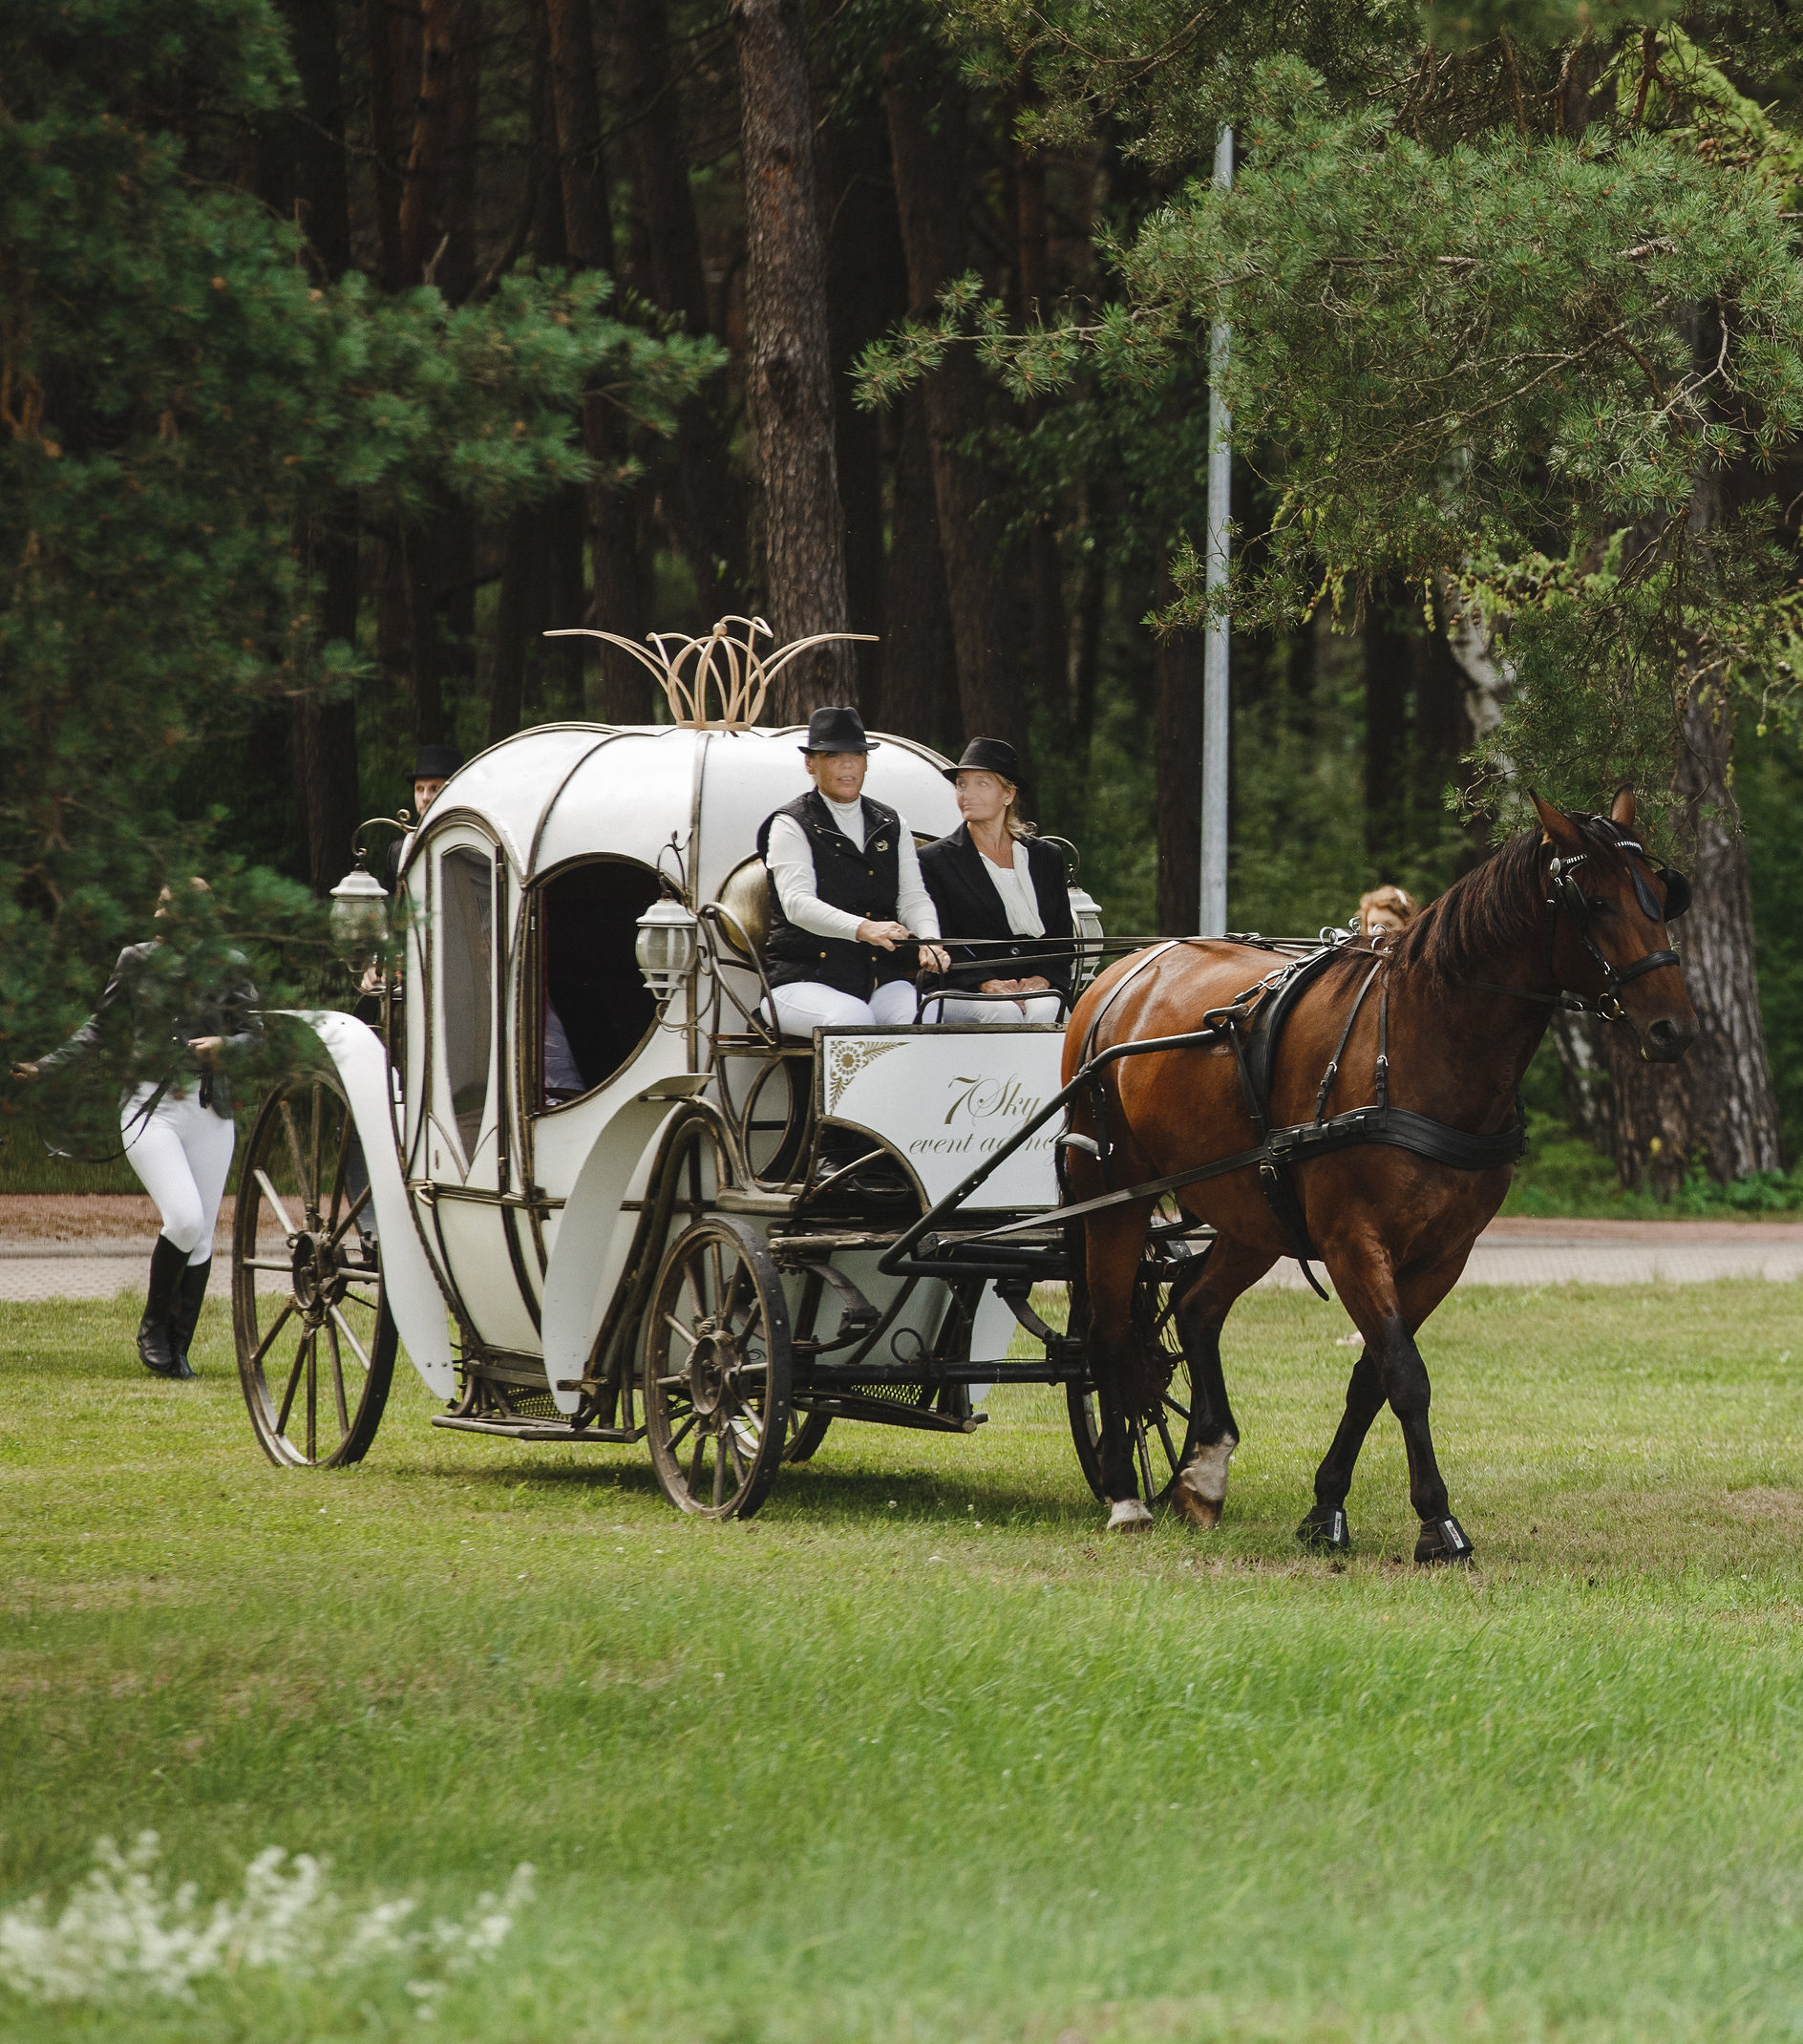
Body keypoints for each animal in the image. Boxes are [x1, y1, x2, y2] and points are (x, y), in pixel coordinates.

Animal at [1063, 789, 1692, 1553]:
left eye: (1661, 892)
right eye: (1596, 902)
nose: (1673, 1027)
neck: (1428, 1040)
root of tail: (1124, 973)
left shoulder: (1443, 1253)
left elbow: (1373, 1374)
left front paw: (1325, 1508)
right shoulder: (1353, 1241)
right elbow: (1405, 1374)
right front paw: (1438, 1521)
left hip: (1253, 1211)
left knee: (1196, 1304)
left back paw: (1204, 1468)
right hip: (1110, 1196)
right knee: (1110, 1335)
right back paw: (1126, 1493)